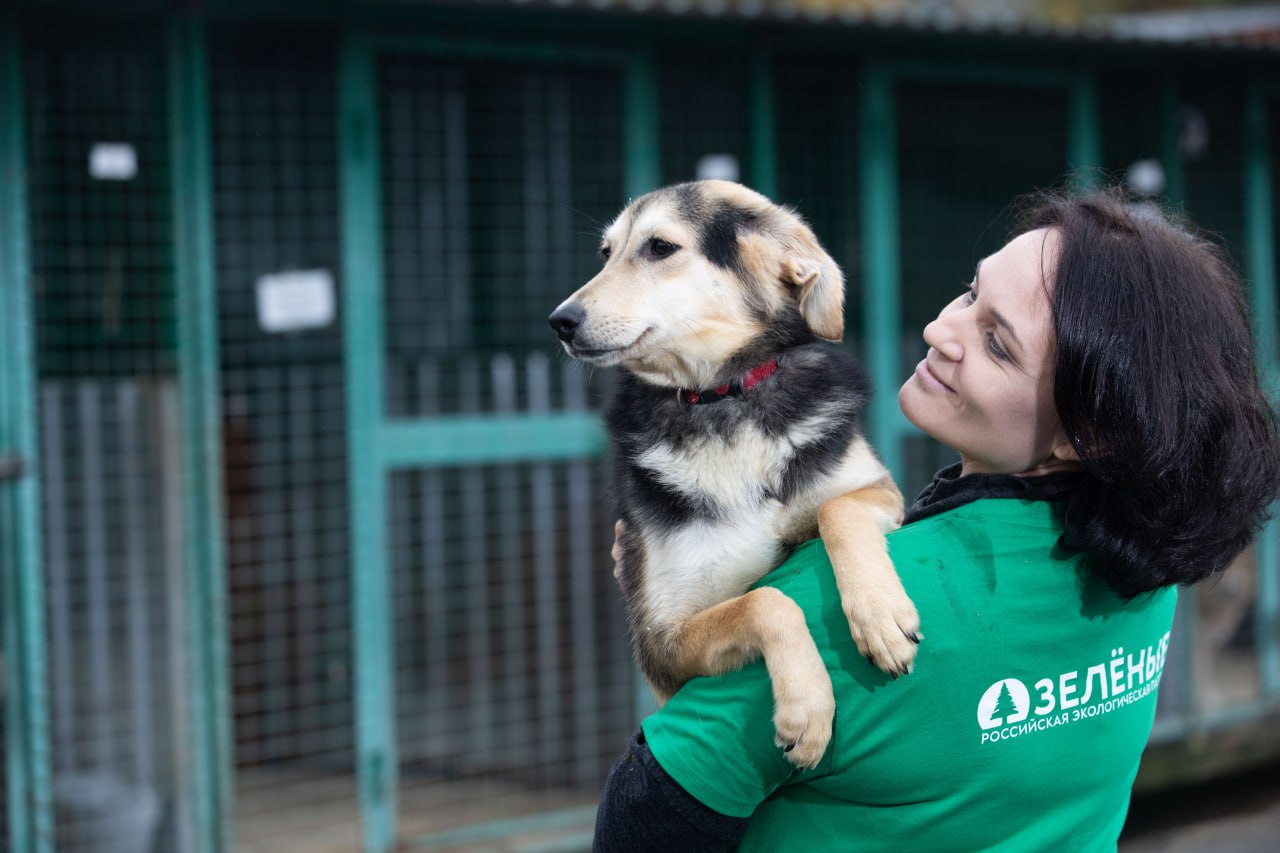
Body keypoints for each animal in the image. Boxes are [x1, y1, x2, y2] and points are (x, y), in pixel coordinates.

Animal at [545, 179, 916, 763]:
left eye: (660, 247)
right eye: (606, 254)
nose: (559, 321)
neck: (722, 397)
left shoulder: (879, 489)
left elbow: (837, 510)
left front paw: (880, 615)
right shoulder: (662, 646)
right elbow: (765, 602)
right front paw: (806, 707)